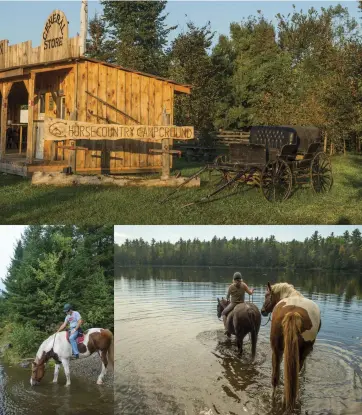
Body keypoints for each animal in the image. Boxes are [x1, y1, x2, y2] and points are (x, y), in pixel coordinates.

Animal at [260, 282, 322, 412]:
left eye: (266, 295)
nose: (262, 311)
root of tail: (293, 313)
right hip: (301, 353)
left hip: (276, 350)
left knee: (275, 378)